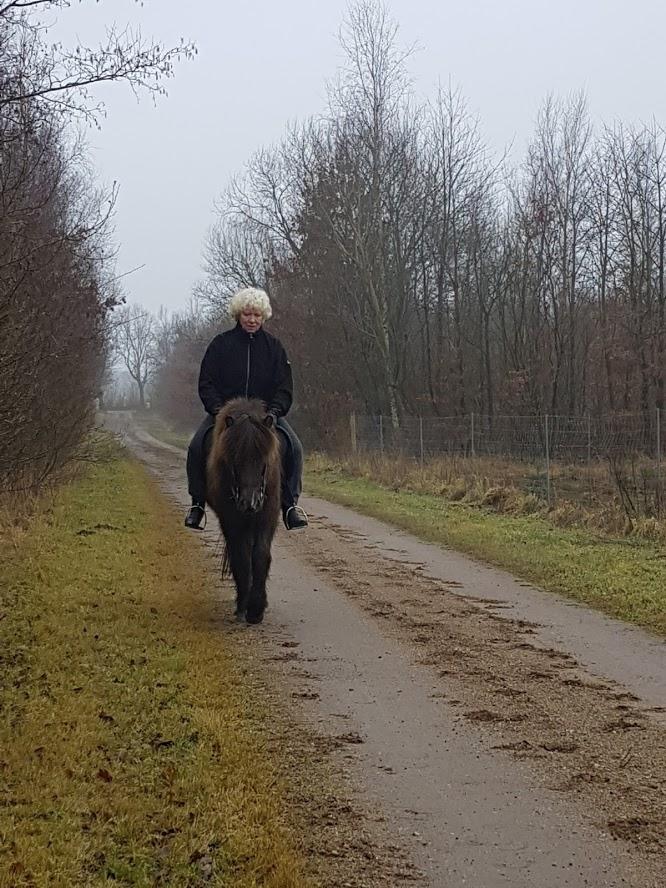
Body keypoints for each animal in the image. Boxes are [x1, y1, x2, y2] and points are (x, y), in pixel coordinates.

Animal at [208, 398, 280, 620]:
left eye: (264, 461)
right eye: (234, 460)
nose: (250, 503)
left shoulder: (267, 517)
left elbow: (261, 555)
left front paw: (256, 607)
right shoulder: (231, 520)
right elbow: (241, 557)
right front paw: (244, 605)